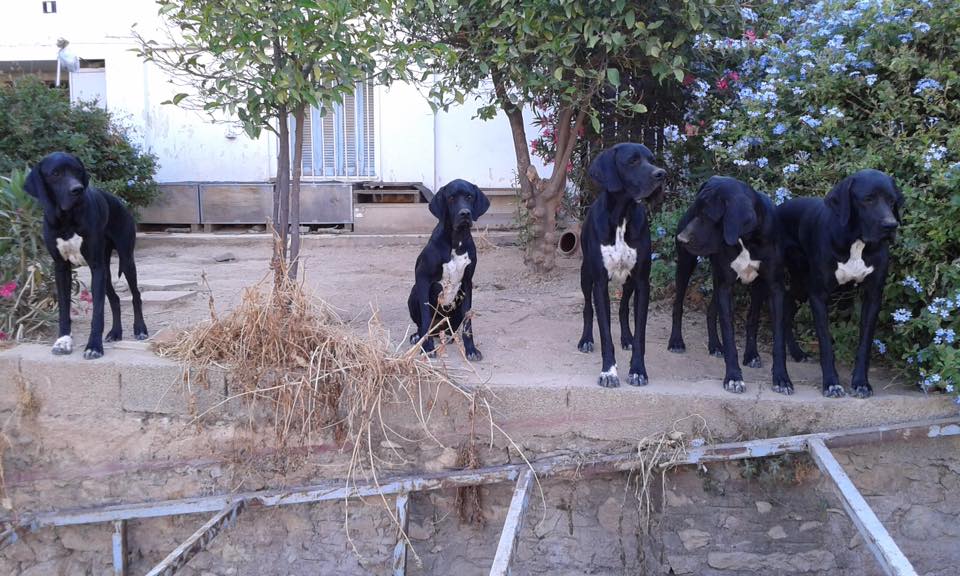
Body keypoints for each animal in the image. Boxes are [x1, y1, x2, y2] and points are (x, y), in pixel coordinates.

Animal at [24, 151, 149, 358]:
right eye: (55, 173)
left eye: (77, 171)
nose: (77, 190)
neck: (67, 220)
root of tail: (117, 200)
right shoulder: (61, 268)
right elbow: (64, 308)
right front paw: (63, 341)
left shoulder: (96, 267)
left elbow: (97, 312)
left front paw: (94, 346)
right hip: (106, 271)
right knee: (115, 299)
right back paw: (116, 332)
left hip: (126, 260)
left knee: (136, 295)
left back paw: (140, 329)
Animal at [408, 180, 492, 360]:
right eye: (451, 198)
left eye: (469, 196)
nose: (465, 213)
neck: (456, 241)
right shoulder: (423, 279)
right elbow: (426, 318)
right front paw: (427, 347)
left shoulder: (467, 283)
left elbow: (468, 323)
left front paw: (471, 350)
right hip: (413, 293)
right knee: (422, 325)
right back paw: (418, 337)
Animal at [576, 143, 668, 388]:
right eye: (632, 161)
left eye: (651, 159)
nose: (661, 174)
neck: (622, 216)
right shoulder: (599, 283)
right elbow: (605, 332)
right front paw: (609, 372)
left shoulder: (642, 282)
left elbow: (640, 333)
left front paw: (637, 370)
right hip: (585, 275)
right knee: (587, 308)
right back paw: (586, 339)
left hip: (628, 282)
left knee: (624, 307)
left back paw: (626, 338)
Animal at [668, 178, 796, 396]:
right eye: (696, 210)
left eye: (707, 215)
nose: (681, 239)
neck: (747, 239)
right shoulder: (726, 286)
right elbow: (729, 335)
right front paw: (734, 377)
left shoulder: (772, 287)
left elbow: (772, 333)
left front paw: (781, 378)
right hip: (687, 263)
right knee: (678, 304)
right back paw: (676, 341)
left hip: (741, 283)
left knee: (720, 312)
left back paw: (719, 346)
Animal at [776, 169, 904, 398]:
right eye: (868, 199)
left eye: (892, 201)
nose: (891, 226)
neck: (857, 243)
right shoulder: (819, 295)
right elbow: (826, 343)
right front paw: (831, 383)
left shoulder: (873, 297)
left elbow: (865, 344)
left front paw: (861, 382)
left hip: (801, 284)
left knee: (789, 307)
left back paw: (797, 352)